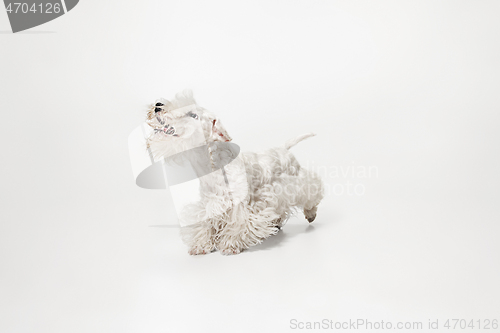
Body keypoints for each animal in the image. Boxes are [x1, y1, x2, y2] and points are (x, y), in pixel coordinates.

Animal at [145, 91, 324, 254]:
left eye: (193, 115)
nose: (158, 106)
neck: (210, 164)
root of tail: (284, 149)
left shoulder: (241, 205)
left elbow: (239, 223)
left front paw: (230, 244)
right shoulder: (210, 203)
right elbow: (205, 222)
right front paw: (201, 245)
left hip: (295, 184)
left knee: (312, 192)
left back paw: (310, 214)